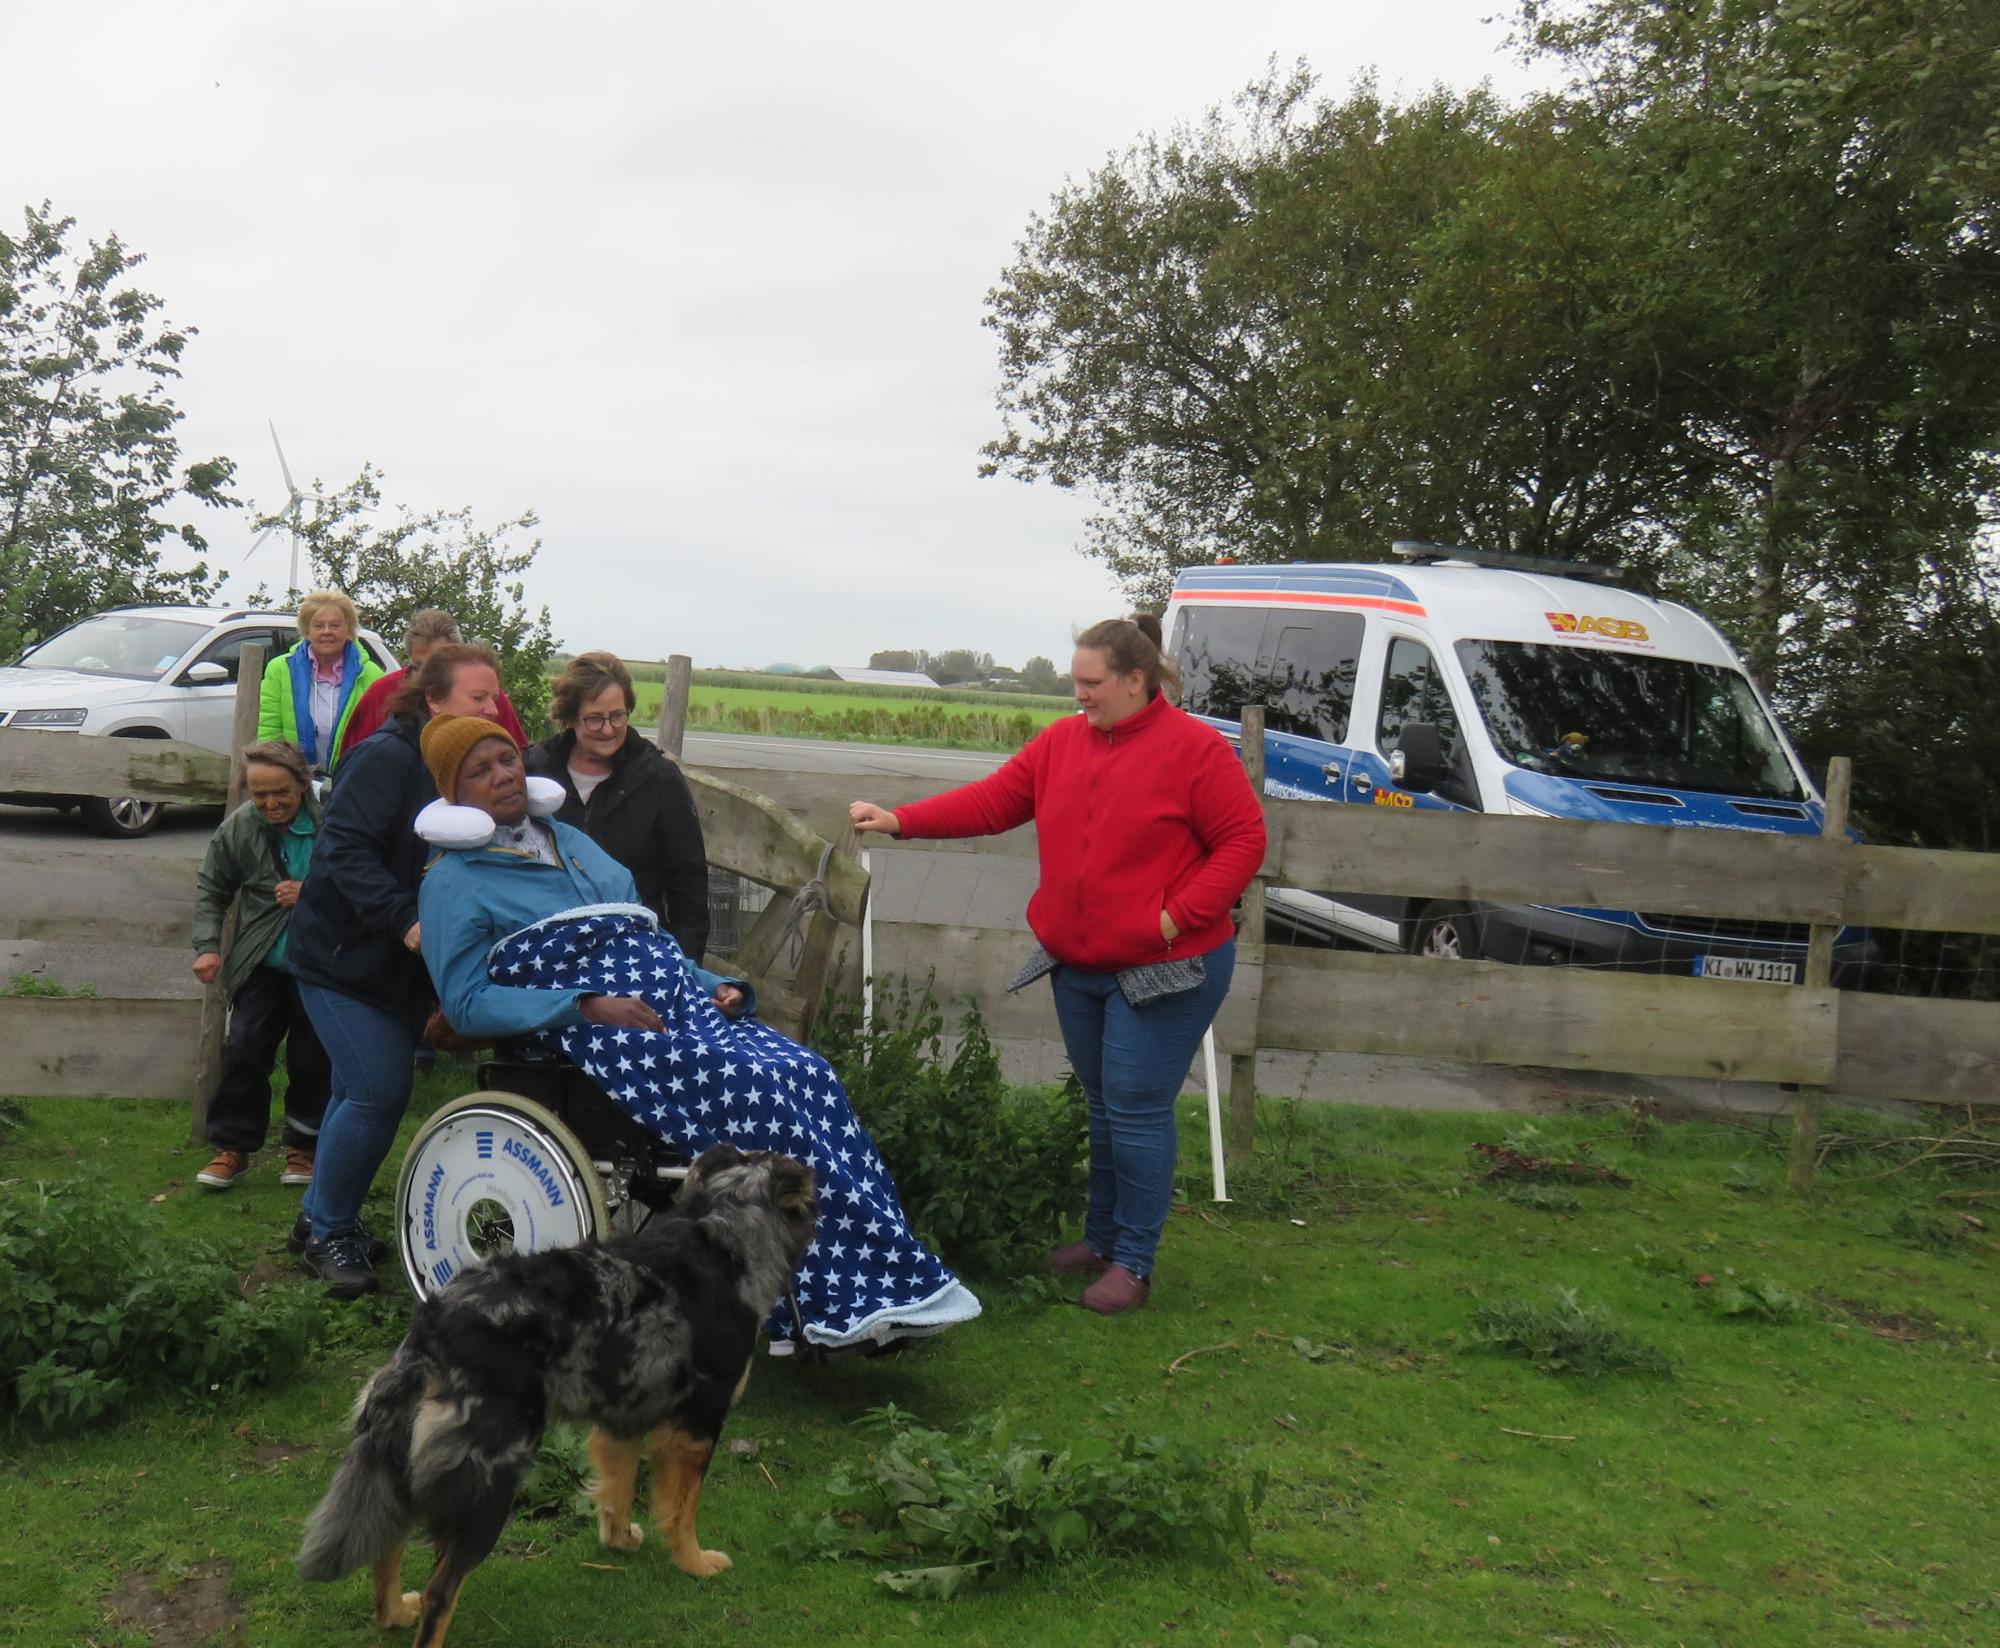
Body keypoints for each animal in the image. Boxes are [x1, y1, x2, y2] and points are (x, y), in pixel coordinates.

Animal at [297, 1144, 817, 1646]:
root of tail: (433, 1330)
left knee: (387, 1547)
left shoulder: (622, 1418)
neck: (724, 1231)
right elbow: (680, 1508)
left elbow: (617, 1490)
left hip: (403, 1468)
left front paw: (620, 1541)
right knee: (439, 1593)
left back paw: (395, 1614)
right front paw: (695, 1562)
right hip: (491, 1484)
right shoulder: (695, 1425)